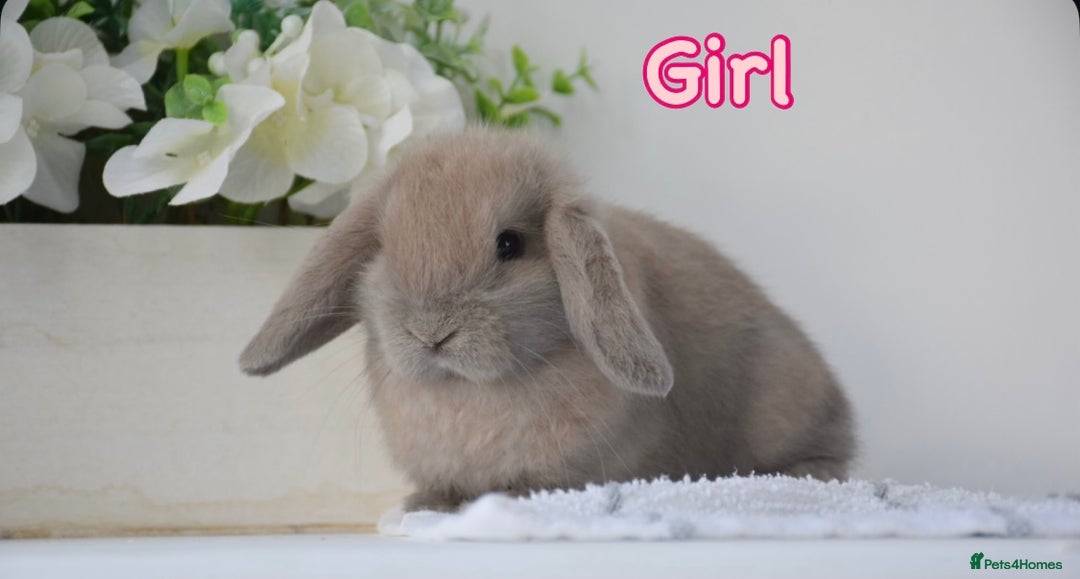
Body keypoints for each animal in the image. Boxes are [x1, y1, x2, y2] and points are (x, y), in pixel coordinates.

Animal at [239, 128, 855, 512]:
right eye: (384, 249)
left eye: (509, 244)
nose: (431, 333)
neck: (468, 392)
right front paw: (425, 504)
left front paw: (507, 497)